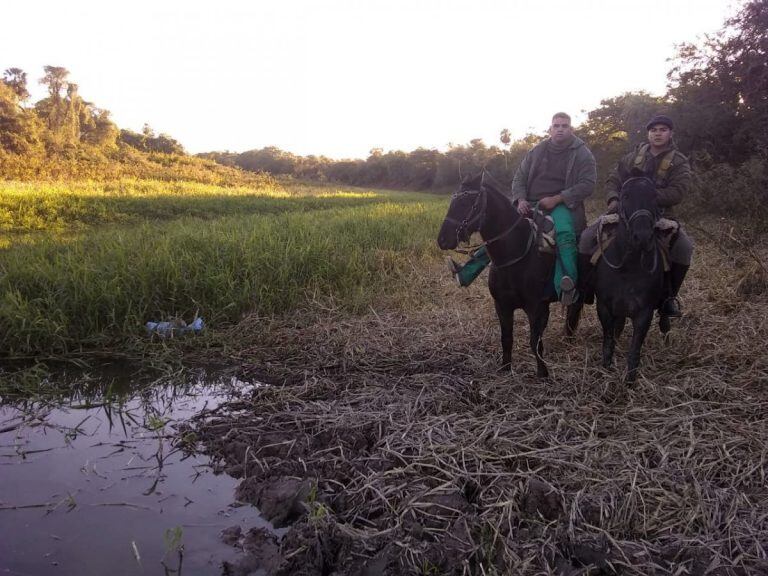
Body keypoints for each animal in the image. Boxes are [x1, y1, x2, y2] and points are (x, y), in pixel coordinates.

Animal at [438, 171, 560, 378]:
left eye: (467, 203)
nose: (442, 239)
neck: (516, 255)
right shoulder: (502, 305)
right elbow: (506, 338)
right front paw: (505, 368)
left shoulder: (536, 307)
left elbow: (535, 343)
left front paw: (542, 373)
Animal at [592, 176, 664, 382]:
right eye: (625, 196)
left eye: (654, 196)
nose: (643, 237)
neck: (628, 268)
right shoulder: (604, 307)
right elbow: (608, 340)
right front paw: (606, 368)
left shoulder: (644, 312)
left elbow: (635, 348)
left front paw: (630, 379)